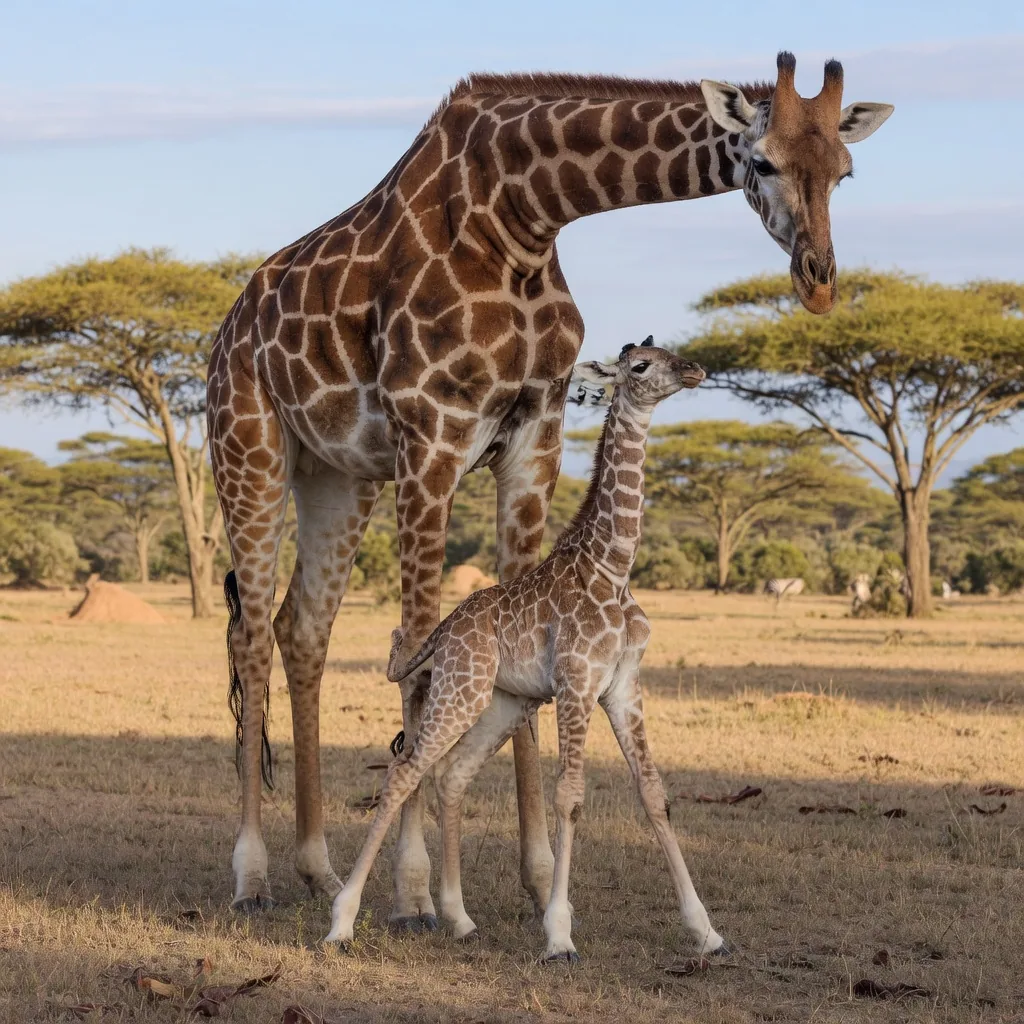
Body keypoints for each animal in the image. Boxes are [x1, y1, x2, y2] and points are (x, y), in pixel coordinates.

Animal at [325, 341, 720, 961]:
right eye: (639, 365)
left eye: (669, 354)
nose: (694, 370)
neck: (613, 566)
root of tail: (445, 630)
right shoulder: (578, 681)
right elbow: (569, 797)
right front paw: (558, 934)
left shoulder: (623, 686)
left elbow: (654, 794)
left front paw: (705, 931)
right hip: (460, 689)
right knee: (404, 772)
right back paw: (343, 920)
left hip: (503, 701)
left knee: (451, 775)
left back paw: (460, 918)